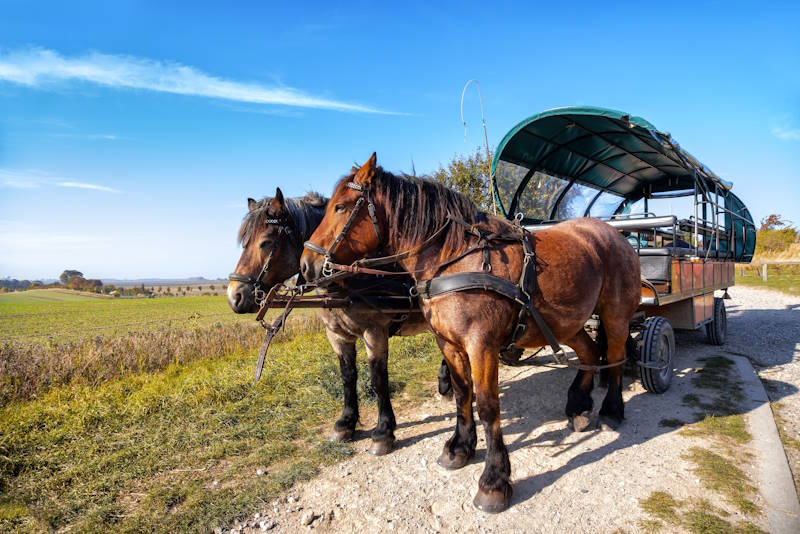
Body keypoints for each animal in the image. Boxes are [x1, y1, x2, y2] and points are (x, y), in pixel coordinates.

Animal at [228, 188, 454, 456]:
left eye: (266, 242)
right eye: (244, 243)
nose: (235, 296)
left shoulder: (374, 331)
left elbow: (378, 379)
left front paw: (383, 431)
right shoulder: (336, 335)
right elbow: (347, 376)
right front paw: (346, 423)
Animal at [300, 155, 644, 516]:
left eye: (340, 207)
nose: (306, 265)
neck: (454, 259)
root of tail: (615, 234)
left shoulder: (482, 345)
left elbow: (488, 406)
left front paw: (494, 480)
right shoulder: (449, 344)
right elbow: (462, 393)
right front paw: (460, 447)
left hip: (614, 316)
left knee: (615, 357)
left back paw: (611, 410)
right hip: (569, 322)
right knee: (590, 354)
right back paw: (578, 406)